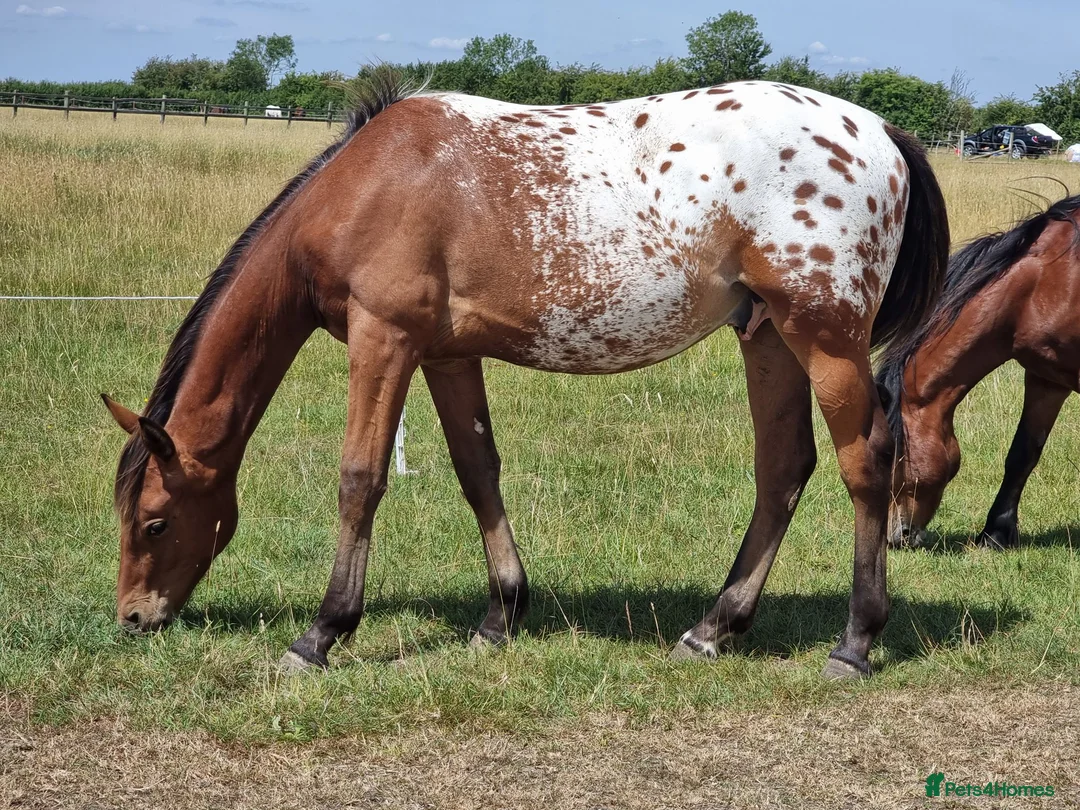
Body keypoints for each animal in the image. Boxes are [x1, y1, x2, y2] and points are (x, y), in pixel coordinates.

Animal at [100, 72, 949, 681]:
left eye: (154, 522)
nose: (133, 618)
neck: (371, 183)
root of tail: (882, 132)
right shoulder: (444, 354)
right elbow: (478, 470)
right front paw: (500, 616)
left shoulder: (383, 341)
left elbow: (360, 478)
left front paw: (323, 633)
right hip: (767, 335)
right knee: (783, 470)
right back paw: (712, 629)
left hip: (824, 339)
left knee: (865, 464)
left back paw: (854, 643)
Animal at [878, 192, 1080, 550]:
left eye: (894, 457)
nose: (895, 536)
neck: (1050, 279)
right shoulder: (1047, 377)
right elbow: (1023, 453)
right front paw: (996, 533)